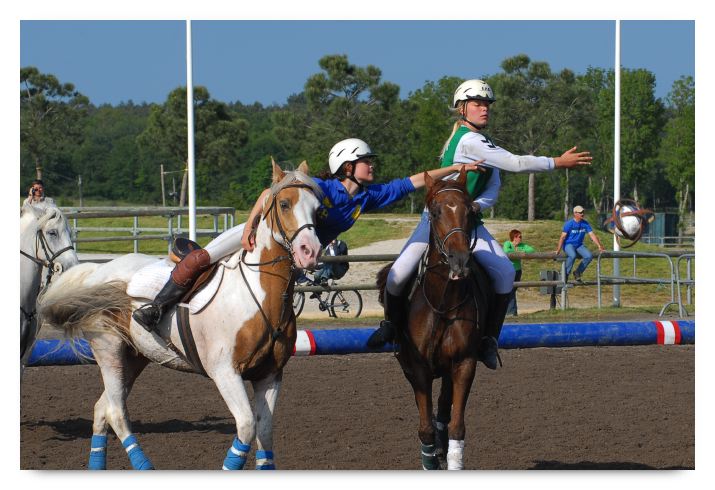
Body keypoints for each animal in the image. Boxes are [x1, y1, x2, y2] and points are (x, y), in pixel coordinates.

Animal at [37, 161, 322, 470]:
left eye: (318, 208)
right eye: (284, 204)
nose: (310, 252)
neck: (259, 296)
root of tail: (99, 271)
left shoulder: (269, 376)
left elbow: (265, 433)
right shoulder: (225, 372)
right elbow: (247, 428)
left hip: (134, 357)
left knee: (103, 409)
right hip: (109, 350)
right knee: (115, 412)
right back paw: (144, 466)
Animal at [378, 167, 491, 470]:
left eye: (469, 211)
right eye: (436, 212)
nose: (460, 261)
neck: (443, 304)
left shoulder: (464, 363)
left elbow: (456, 425)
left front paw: (451, 456)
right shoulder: (418, 369)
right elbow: (425, 426)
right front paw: (430, 458)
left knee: (443, 406)